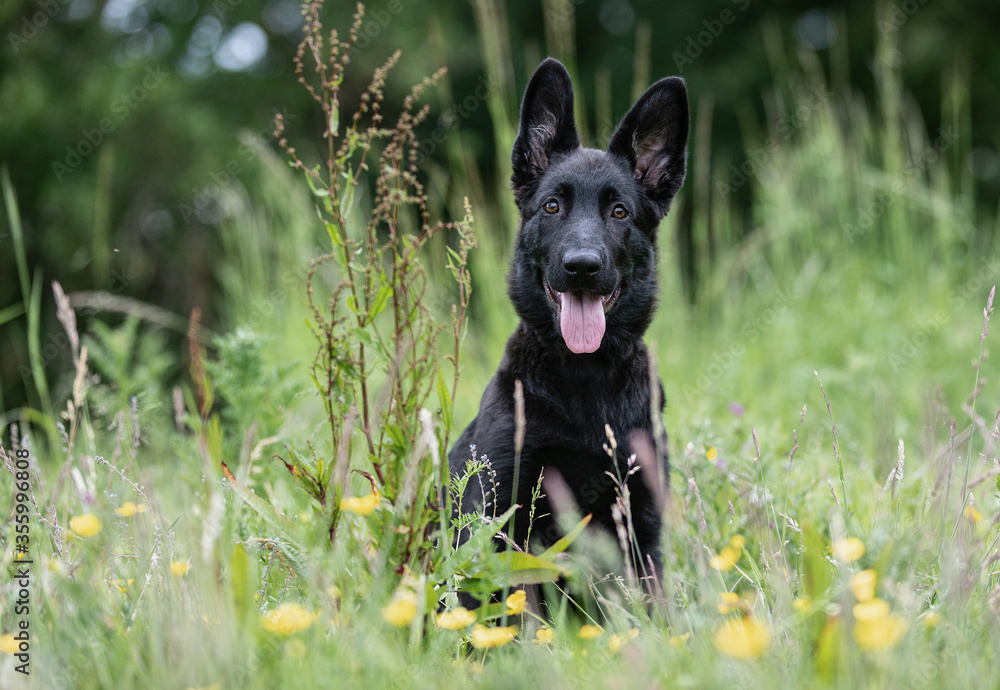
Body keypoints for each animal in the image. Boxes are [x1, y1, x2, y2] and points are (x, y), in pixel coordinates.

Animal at [452, 57, 688, 596]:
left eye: (619, 211)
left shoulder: (640, 523)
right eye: (552, 206)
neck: (585, 378)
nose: (582, 266)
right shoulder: (498, 515)